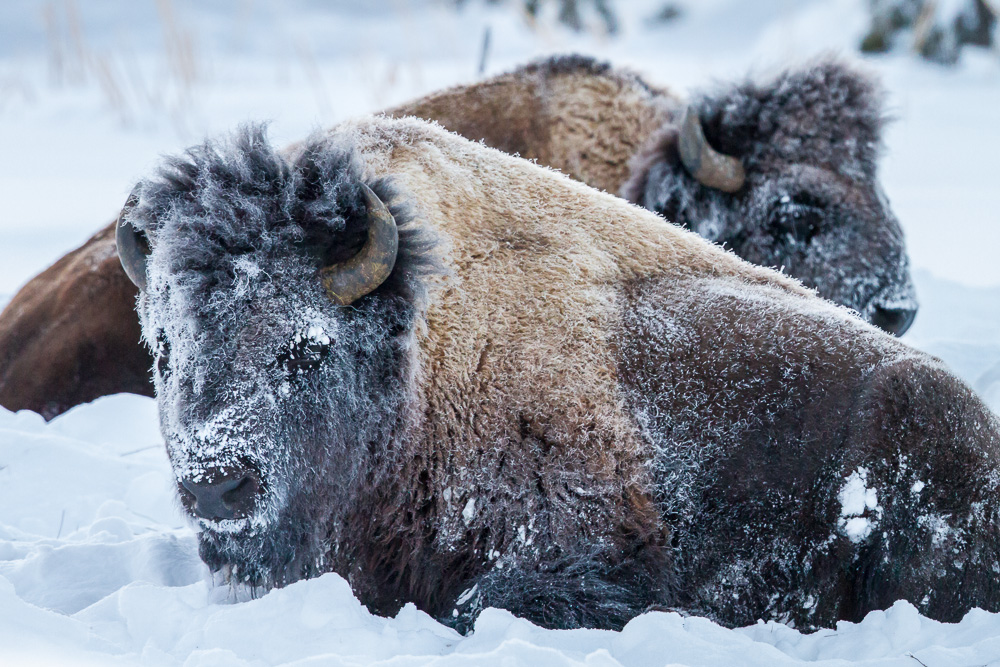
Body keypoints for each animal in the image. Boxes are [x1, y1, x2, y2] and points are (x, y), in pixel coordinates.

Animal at [113, 117, 996, 636]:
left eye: (306, 348)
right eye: (164, 348)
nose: (216, 483)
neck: (420, 357)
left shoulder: (577, 546)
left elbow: (479, 601)